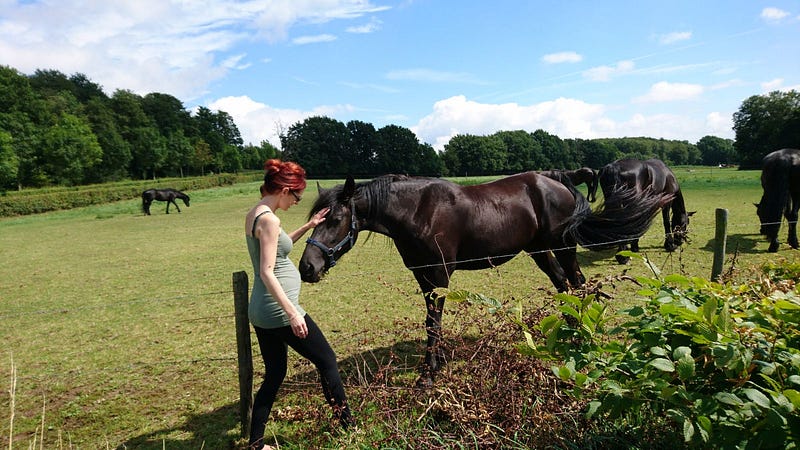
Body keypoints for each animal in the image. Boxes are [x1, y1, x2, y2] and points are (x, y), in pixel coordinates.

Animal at [296, 173, 672, 386]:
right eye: (315, 219)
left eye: (336, 219)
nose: (307, 268)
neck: (418, 210)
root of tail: (560, 185)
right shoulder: (423, 275)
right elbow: (431, 321)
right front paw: (436, 362)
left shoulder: (439, 273)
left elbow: (433, 320)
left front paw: (429, 373)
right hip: (539, 251)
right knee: (563, 284)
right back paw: (568, 332)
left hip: (563, 247)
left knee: (577, 283)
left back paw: (582, 334)